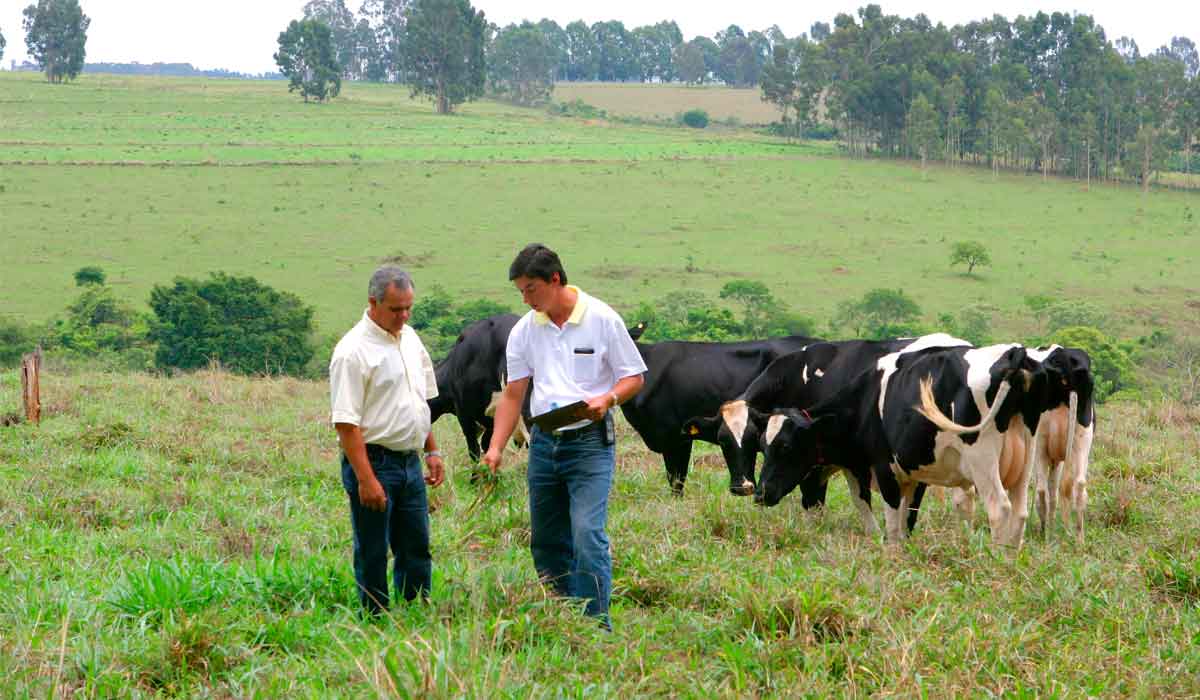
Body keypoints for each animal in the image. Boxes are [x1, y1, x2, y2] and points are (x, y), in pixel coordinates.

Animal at [758, 343, 1041, 547]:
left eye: (785, 446)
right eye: (763, 446)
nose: (760, 493)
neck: (865, 401)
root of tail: (1013, 354)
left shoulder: (885, 469)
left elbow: (893, 520)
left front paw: (891, 554)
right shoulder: (908, 475)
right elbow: (905, 516)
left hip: (982, 460)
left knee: (999, 508)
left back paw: (995, 559)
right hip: (1025, 461)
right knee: (1020, 512)